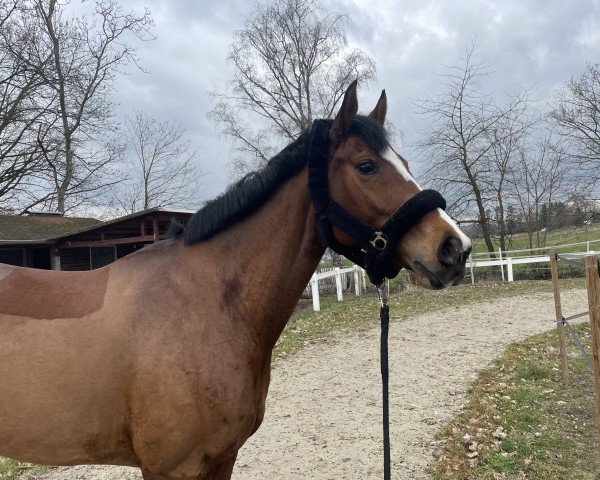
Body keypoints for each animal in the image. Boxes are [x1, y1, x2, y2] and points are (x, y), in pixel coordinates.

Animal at [0, 83, 472, 480]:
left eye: (404, 164)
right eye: (367, 166)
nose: (456, 247)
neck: (207, 305)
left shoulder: (222, 458)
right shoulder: (171, 470)